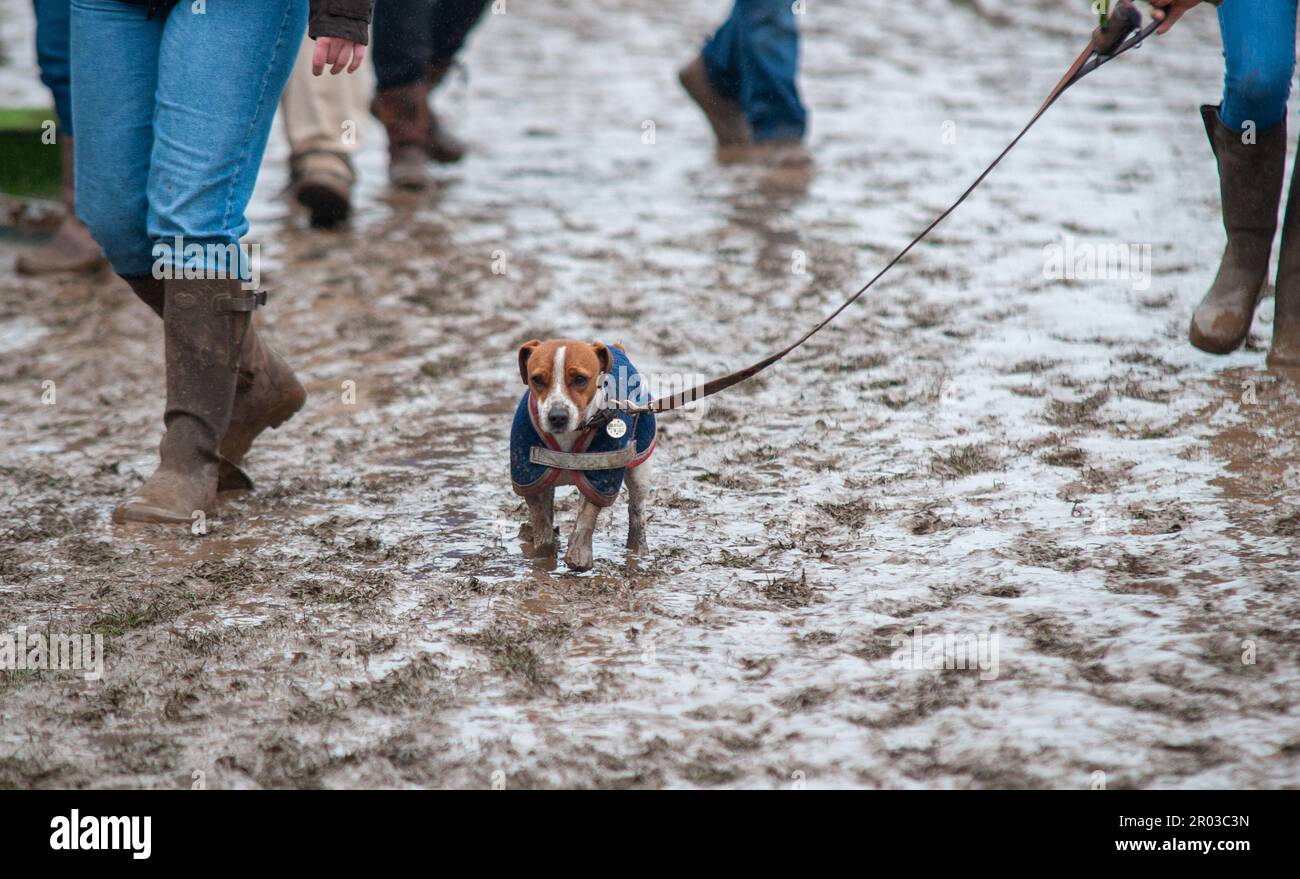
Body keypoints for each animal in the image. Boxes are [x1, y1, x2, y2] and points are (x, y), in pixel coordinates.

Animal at [509, 335, 655, 569]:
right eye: (537, 379)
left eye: (580, 379)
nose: (557, 416)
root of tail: (617, 349)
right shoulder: (529, 472)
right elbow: (540, 516)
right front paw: (544, 552)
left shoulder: (602, 475)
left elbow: (587, 515)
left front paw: (579, 554)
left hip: (639, 469)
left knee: (636, 512)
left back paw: (638, 550)